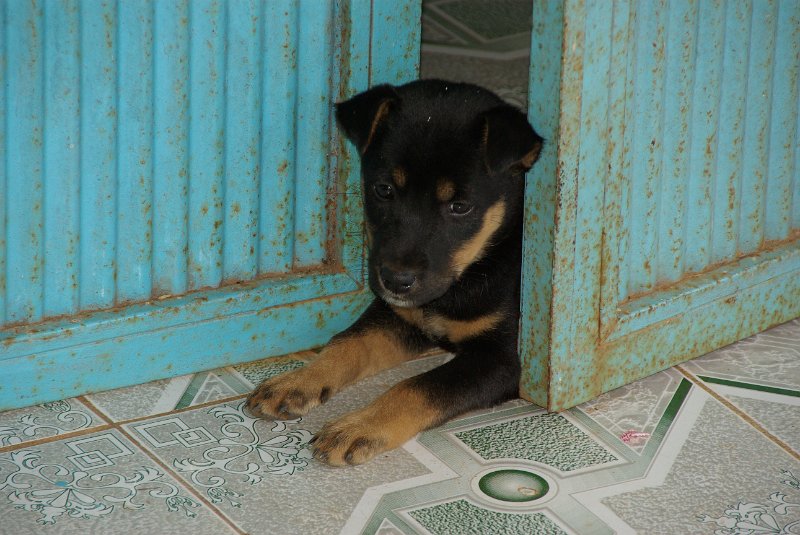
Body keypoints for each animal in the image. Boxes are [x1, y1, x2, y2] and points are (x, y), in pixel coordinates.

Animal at [247, 78, 540, 464]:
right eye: (383, 189)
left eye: (460, 207)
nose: (395, 282)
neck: (472, 272)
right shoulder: (400, 316)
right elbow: (348, 342)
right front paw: (298, 380)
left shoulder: (502, 359)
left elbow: (418, 386)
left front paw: (360, 426)